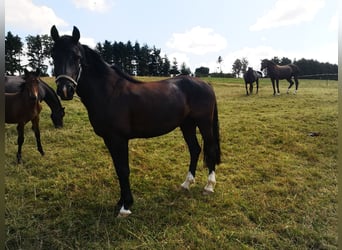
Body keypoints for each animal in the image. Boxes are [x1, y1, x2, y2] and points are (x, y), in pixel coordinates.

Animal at [50, 24, 222, 217]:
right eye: (53, 55)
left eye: (77, 57)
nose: (65, 90)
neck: (108, 92)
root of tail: (206, 84)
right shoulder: (109, 140)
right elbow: (118, 169)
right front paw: (121, 202)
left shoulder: (119, 139)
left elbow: (123, 170)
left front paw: (125, 207)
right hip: (187, 124)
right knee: (195, 149)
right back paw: (186, 183)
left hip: (204, 123)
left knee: (210, 149)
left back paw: (209, 186)